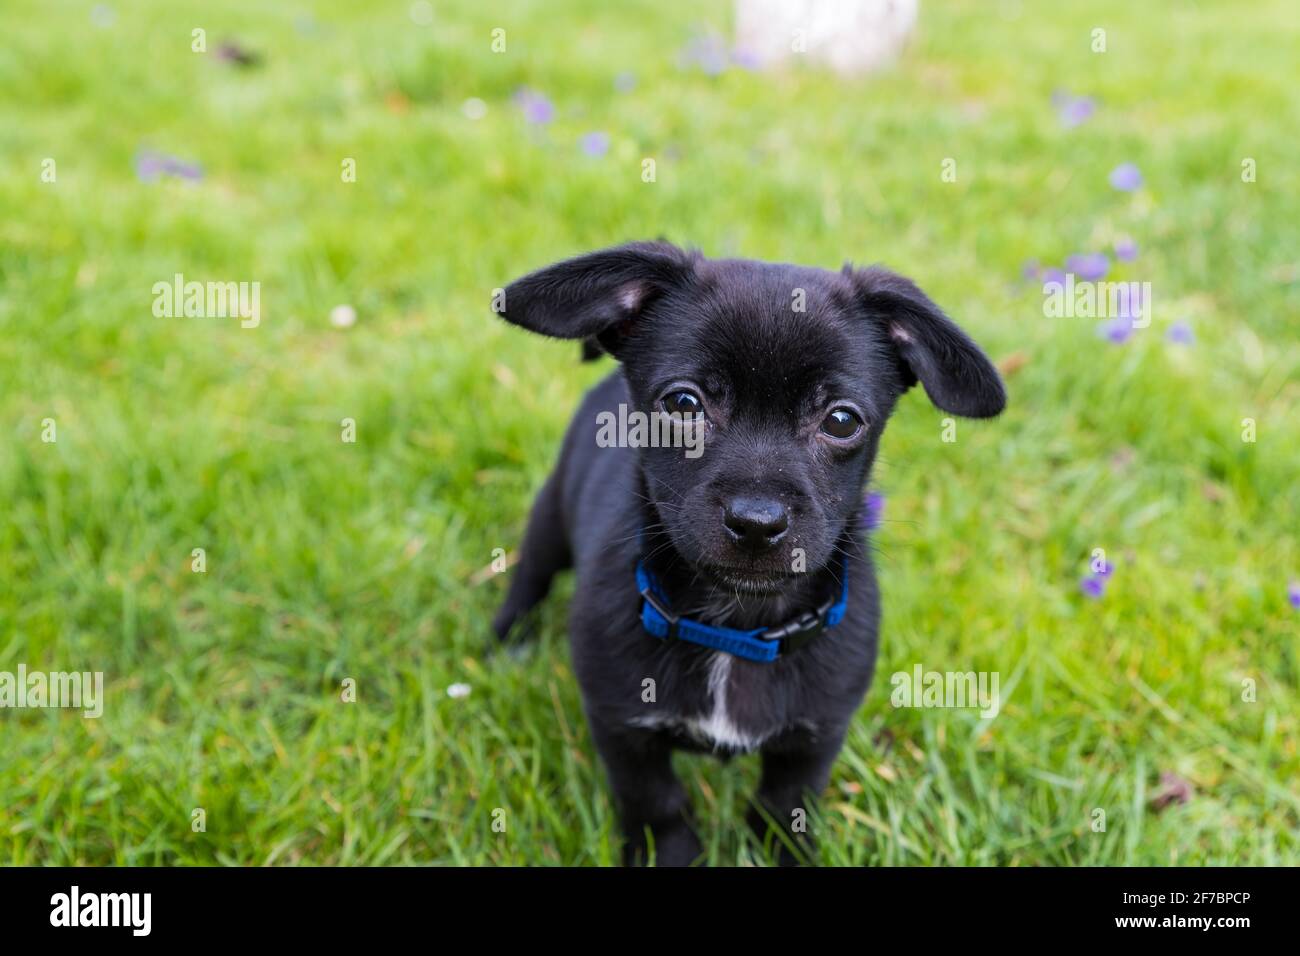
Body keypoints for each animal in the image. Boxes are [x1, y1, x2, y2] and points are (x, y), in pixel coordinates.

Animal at [488, 240, 1003, 868]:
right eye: (683, 404)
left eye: (841, 420)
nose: (757, 522)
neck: (736, 628)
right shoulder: (621, 727)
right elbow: (657, 802)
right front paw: (671, 855)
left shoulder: (815, 738)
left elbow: (785, 806)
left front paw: (786, 854)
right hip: (552, 517)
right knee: (529, 575)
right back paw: (505, 643)